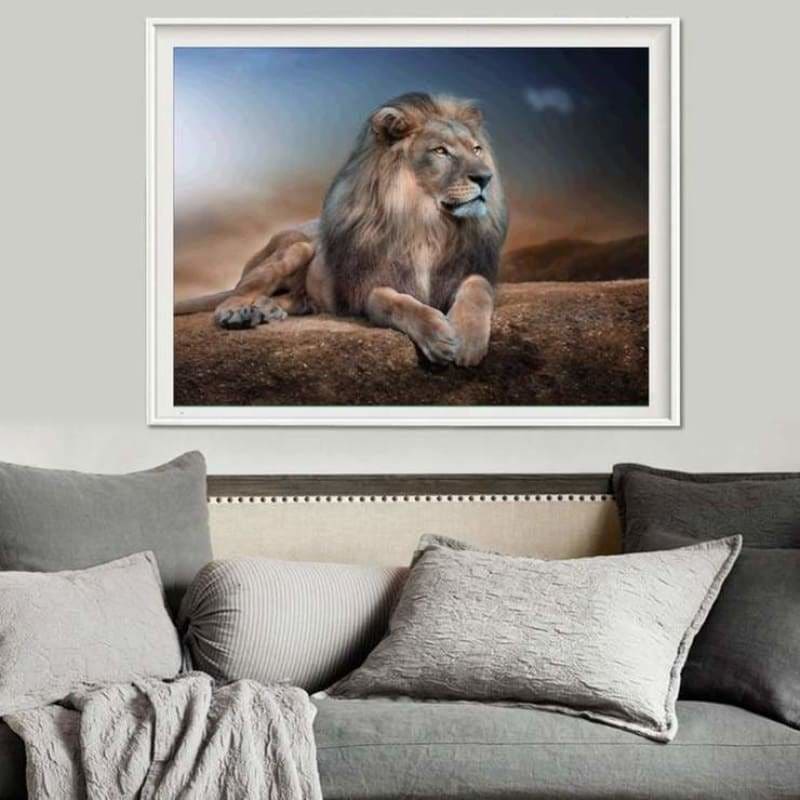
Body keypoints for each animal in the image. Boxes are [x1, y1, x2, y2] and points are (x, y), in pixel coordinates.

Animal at [174, 92, 508, 366]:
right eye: (440, 151)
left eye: (477, 149)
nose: (485, 178)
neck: (428, 223)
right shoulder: (365, 287)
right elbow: (391, 302)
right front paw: (437, 335)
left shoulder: (464, 270)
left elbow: (478, 286)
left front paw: (467, 340)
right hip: (297, 246)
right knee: (237, 293)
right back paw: (240, 313)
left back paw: (268, 310)